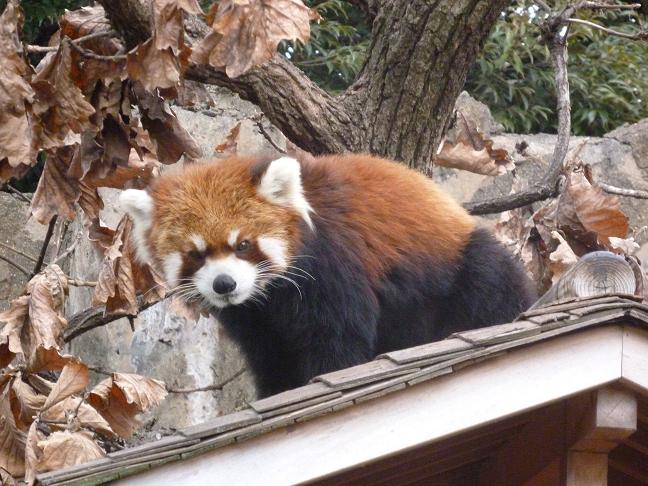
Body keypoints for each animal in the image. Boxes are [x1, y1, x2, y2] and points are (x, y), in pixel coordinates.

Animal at [121, 154, 536, 396]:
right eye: (195, 254)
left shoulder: (333, 269)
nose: (225, 284)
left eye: (243, 245)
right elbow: (271, 358)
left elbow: (336, 341)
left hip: (462, 269)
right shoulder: (254, 317)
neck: (271, 295)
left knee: (489, 281)